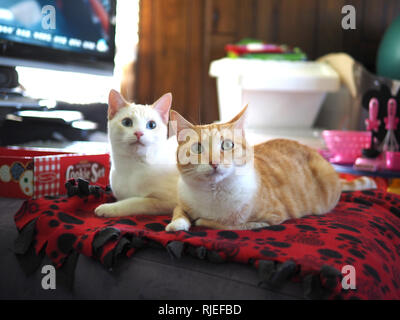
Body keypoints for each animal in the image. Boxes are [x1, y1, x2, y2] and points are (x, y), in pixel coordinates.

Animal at [94, 90, 177, 218]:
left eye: (152, 125)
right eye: (127, 122)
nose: (139, 133)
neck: (133, 166)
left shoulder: (169, 202)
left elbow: (135, 202)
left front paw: (108, 208)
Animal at [165, 106, 376, 231]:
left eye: (227, 145)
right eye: (197, 148)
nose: (214, 162)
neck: (212, 194)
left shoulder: (272, 218)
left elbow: (228, 224)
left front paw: (203, 221)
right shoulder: (181, 201)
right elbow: (178, 211)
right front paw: (176, 224)